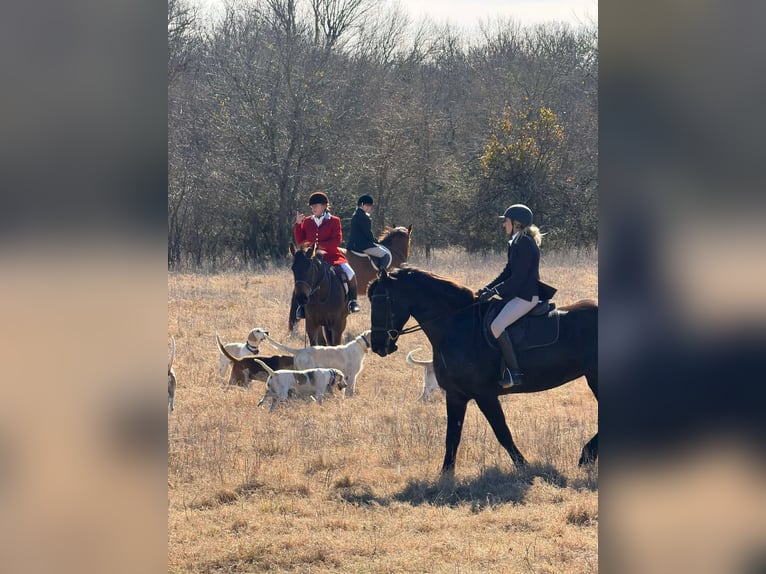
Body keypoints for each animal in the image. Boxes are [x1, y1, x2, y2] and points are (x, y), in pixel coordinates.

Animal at [367, 267, 598, 475]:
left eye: (380, 301)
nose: (378, 346)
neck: (456, 325)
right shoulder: (455, 395)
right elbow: (452, 436)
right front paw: (446, 475)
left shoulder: (484, 395)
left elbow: (502, 432)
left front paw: (524, 467)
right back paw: (587, 456)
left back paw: (586, 456)